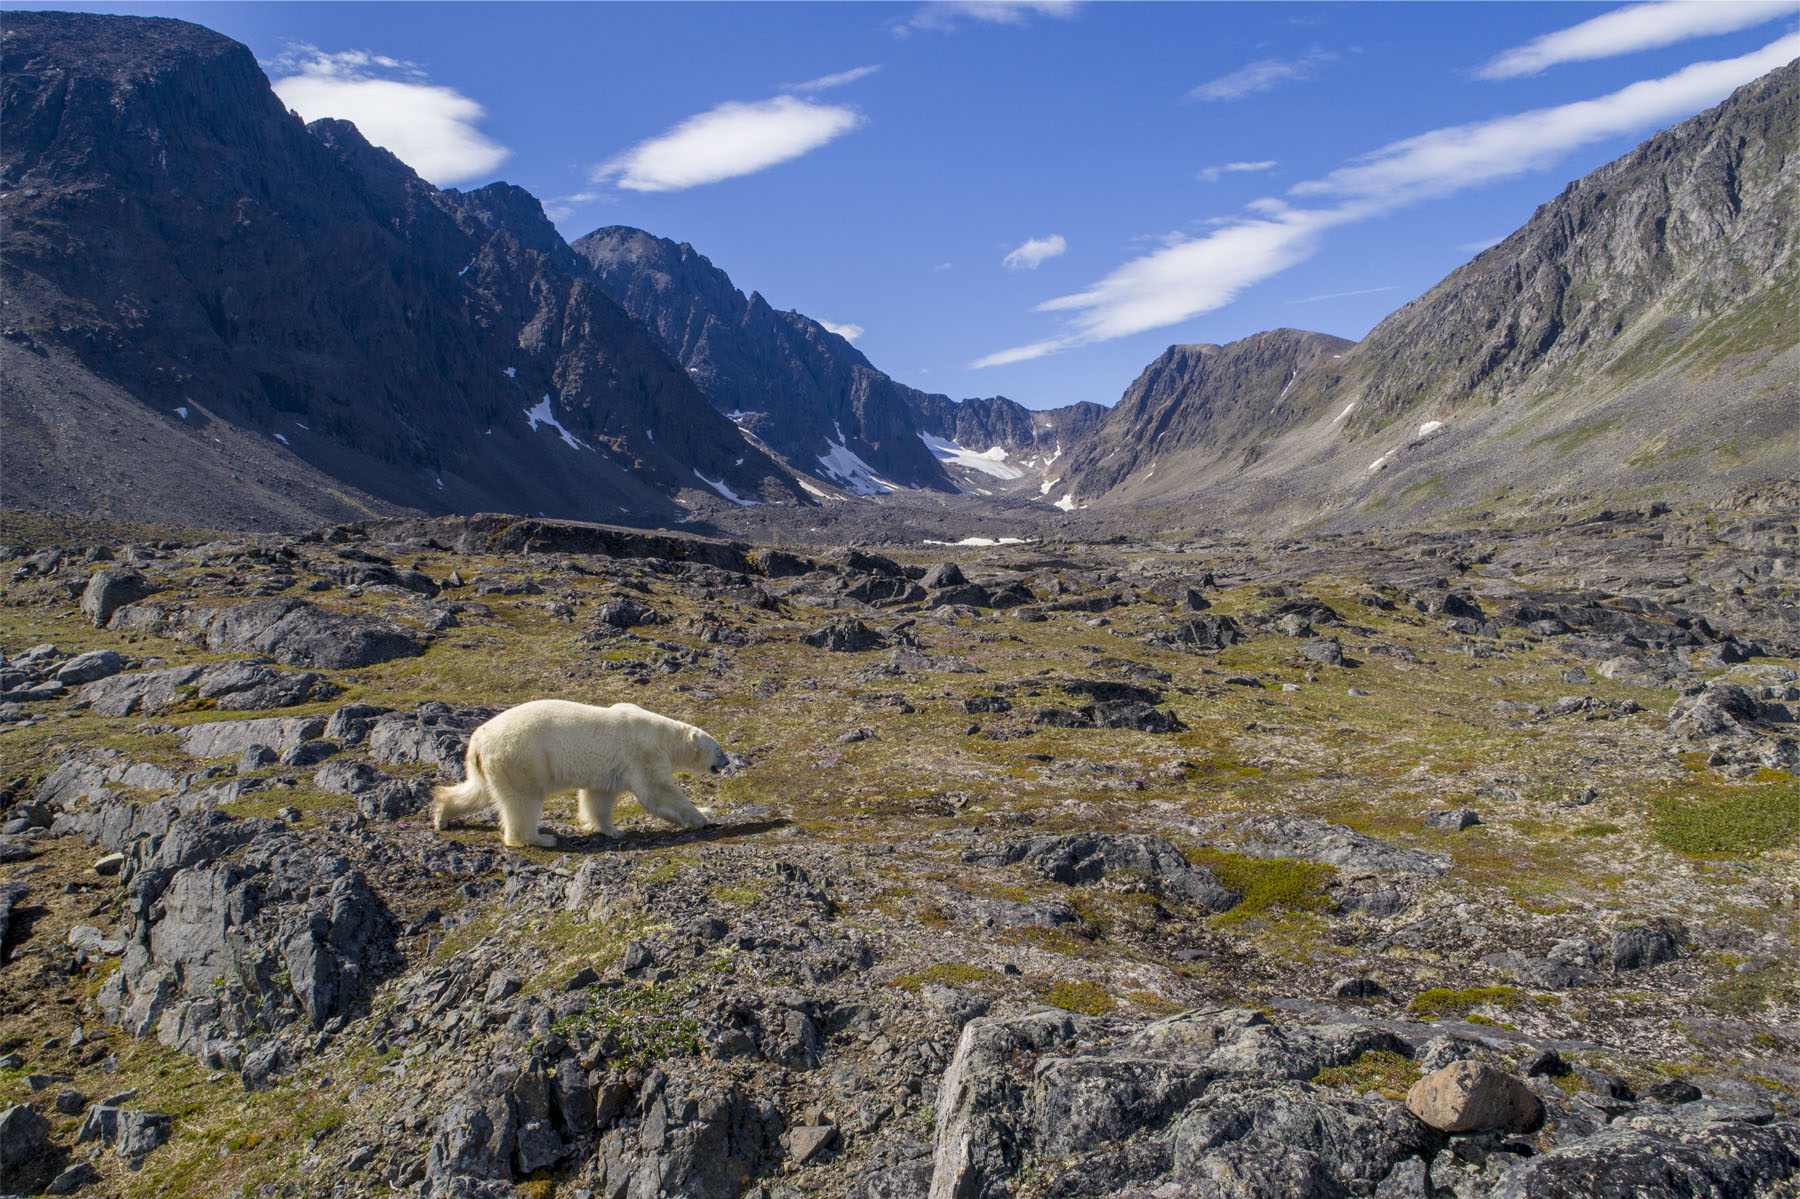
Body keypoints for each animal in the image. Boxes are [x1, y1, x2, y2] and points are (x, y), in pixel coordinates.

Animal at [430, 698, 727, 848]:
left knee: (478, 791)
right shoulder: (643, 753)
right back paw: (541, 838)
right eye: (718, 748)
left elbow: (599, 797)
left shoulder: (610, 767)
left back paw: (442, 815)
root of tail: (478, 741)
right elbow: (658, 791)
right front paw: (702, 815)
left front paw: (612, 831)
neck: (661, 733)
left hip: (487, 765)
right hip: (520, 758)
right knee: (523, 800)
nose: (726, 762)